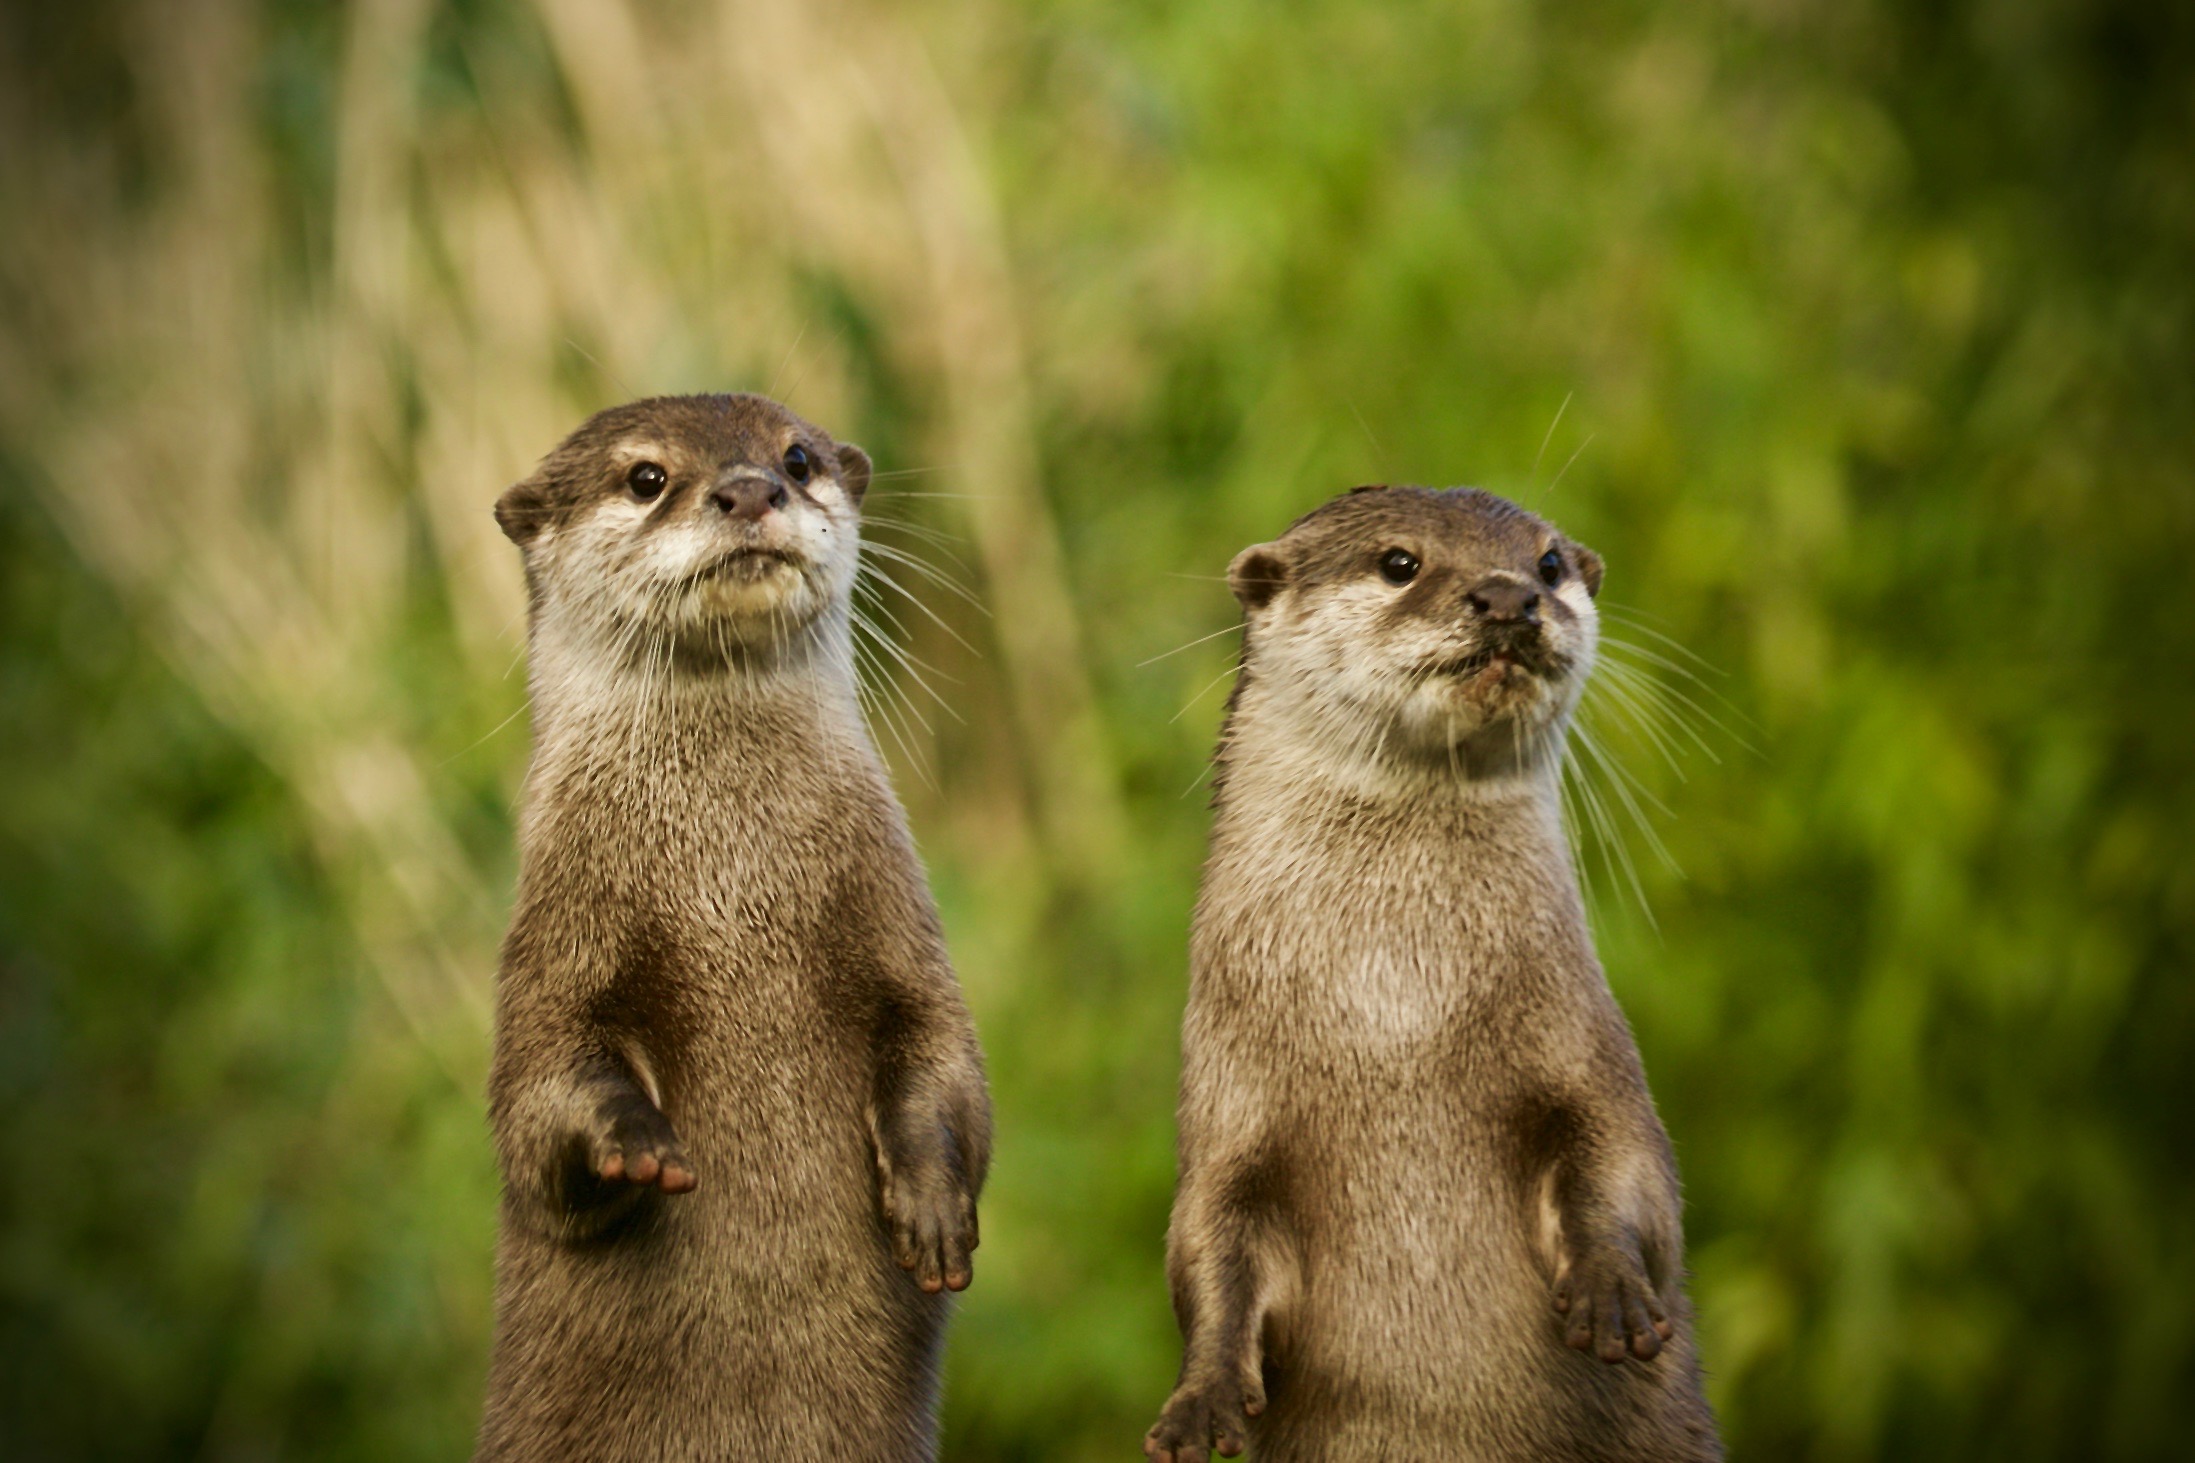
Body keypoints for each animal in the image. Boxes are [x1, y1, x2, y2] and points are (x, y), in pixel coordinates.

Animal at [476, 394, 991, 1462]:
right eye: (646, 477)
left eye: (795, 458)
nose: (750, 489)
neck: (733, 887)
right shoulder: (556, 944)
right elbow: (539, 1110)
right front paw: (633, 1139)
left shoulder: (901, 933)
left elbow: (946, 1061)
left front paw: (930, 1206)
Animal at [1144, 486, 1720, 1462]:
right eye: (1398, 563)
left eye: (1548, 563)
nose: (1507, 596)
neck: (1397, 1009)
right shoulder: (1228, 1115)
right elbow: (1206, 1245)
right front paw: (1202, 1395)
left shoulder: (1584, 1050)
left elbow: (1629, 1162)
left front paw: (1608, 1287)